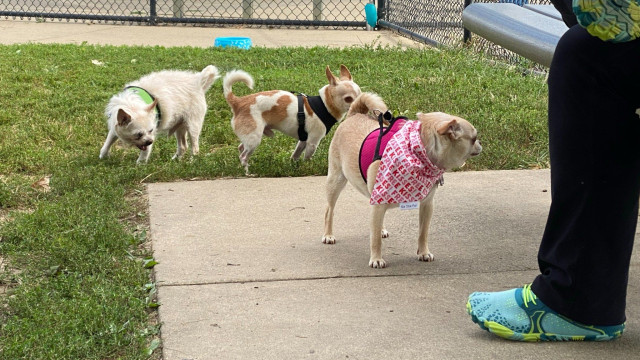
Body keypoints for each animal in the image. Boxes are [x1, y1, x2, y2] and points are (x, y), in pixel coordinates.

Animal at [221, 65, 360, 174]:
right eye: (348, 99)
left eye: (360, 94)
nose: (361, 103)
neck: (323, 105)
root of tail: (238, 102)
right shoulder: (312, 143)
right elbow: (307, 158)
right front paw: (307, 167)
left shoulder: (303, 141)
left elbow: (295, 155)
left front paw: (294, 166)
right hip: (254, 139)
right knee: (243, 156)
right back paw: (247, 172)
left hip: (250, 136)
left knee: (240, 148)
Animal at [322, 93, 482, 268]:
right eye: (473, 138)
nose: (480, 143)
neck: (418, 154)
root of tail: (354, 114)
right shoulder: (380, 201)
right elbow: (375, 239)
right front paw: (376, 258)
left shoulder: (427, 204)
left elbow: (423, 232)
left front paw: (423, 252)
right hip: (336, 180)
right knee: (330, 210)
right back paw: (328, 234)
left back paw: (382, 229)